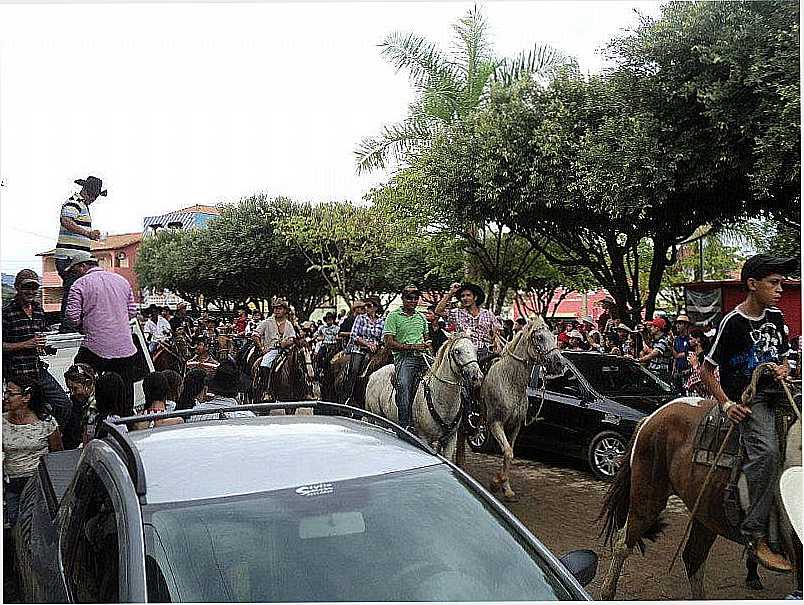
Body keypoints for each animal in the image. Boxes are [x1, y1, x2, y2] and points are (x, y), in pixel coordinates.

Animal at [480, 314, 564, 502]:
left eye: (553, 335)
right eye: (539, 337)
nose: (559, 364)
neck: (510, 382)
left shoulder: (515, 426)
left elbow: (509, 454)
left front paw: (506, 488)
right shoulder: (494, 423)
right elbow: (508, 452)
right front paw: (496, 483)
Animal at [596, 364, 796, 600]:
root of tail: (651, 418)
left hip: (707, 513)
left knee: (693, 557)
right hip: (647, 499)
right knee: (623, 542)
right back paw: (607, 590)